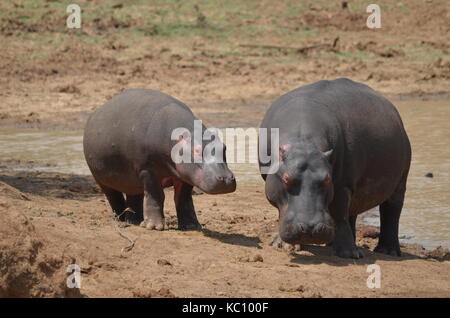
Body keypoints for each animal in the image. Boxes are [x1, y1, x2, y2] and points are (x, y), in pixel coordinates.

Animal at [83, 89, 236, 231]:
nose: (226, 179)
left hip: (133, 179)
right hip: (101, 179)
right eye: (196, 150)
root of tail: (95, 113)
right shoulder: (148, 170)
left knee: (135, 196)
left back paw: (135, 221)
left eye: (224, 147)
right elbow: (156, 196)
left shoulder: (184, 175)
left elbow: (183, 199)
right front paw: (154, 227)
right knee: (114, 197)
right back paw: (121, 220)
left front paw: (192, 226)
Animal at [260, 77, 412, 258]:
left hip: (400, 181)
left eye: (327, 179)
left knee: (391, 211)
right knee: (353, 212)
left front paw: (349, 253)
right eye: (286, 179)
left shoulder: (341, 185)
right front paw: (282, 245)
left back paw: (387, 251)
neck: (303, 141)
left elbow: (340, 214)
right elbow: (280, 210)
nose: (311, 229)